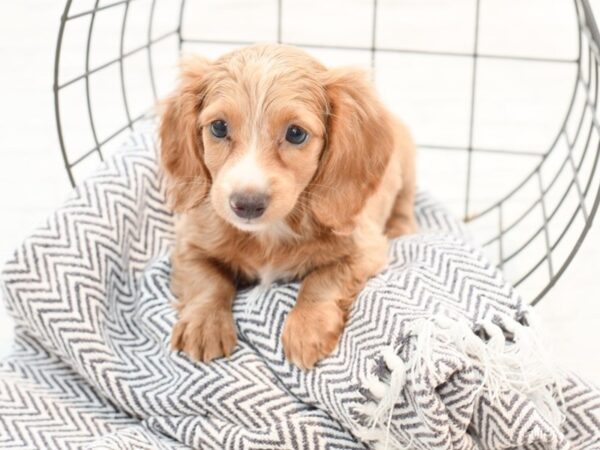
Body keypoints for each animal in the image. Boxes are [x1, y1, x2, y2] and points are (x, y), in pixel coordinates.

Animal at [161, 43, 418, 370]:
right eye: (218, 127)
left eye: (296, 133)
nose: (246, 204)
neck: (270, 232)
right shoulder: (188, 243)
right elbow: (207, 280)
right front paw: (204, 324)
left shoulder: (364, 249)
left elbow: (322, 279)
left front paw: (307, 328)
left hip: (407, 164)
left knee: (405, 202)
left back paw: (401, 226)